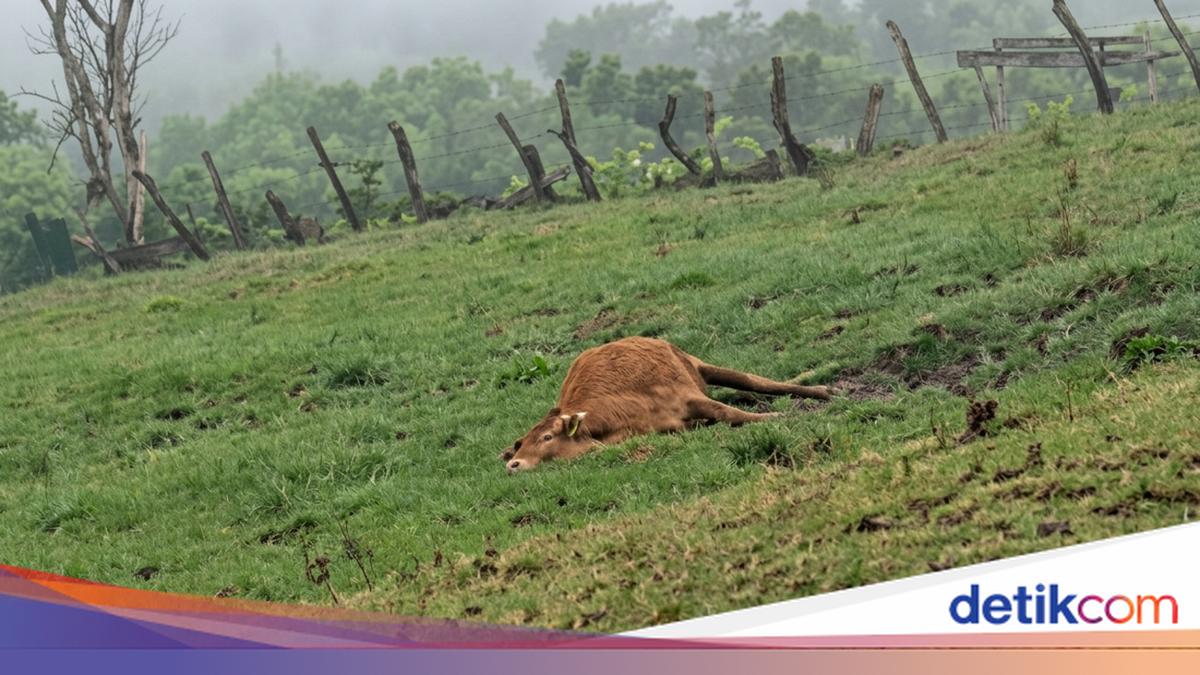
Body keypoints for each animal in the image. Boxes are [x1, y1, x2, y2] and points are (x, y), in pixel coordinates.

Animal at [500, 337, 832, 473]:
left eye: (547, 437)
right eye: (520, 445)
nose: (513, 464)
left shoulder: (688, 397)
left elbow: (728, 411)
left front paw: (778, 414)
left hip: (701, 366)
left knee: (754, 381)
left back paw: (821, 389)